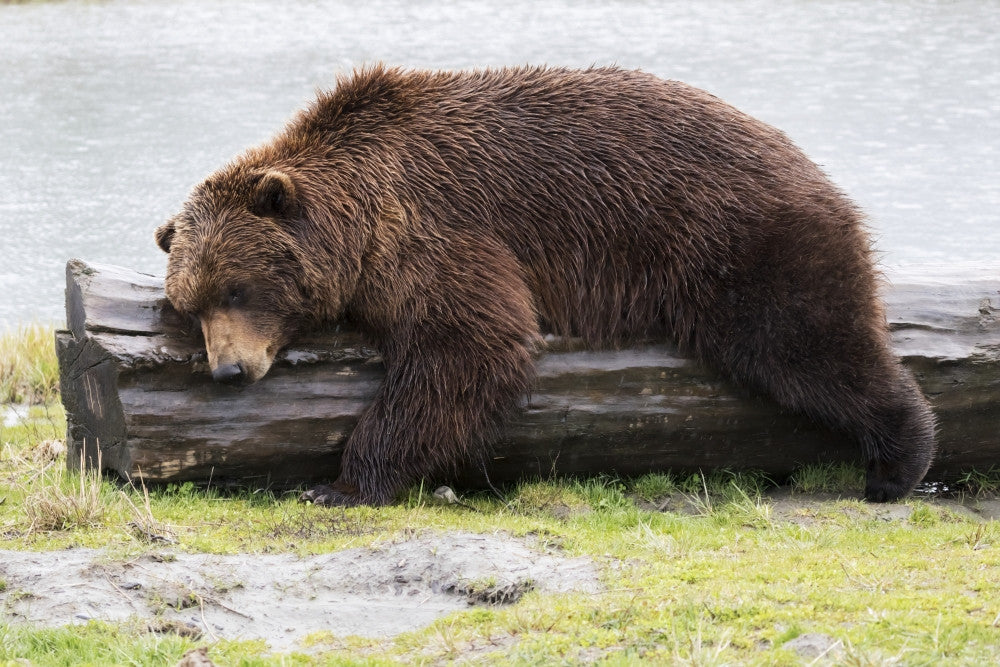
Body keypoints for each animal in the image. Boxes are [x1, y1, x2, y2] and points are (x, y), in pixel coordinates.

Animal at [155, 65, 936, 506]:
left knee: (805, 339)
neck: (360, 221)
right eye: (191, 304)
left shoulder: (437, 229)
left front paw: (341, 482)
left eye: (237, 288)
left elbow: (466, 344)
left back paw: (897, 461)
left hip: (738, 241)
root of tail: (809, 162)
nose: (229, 370)